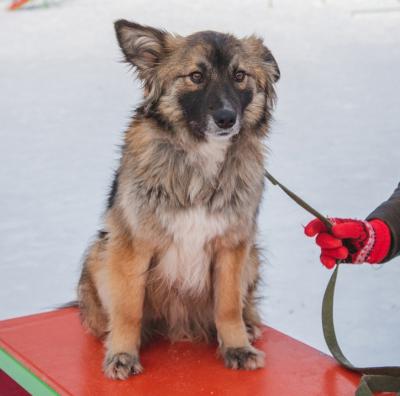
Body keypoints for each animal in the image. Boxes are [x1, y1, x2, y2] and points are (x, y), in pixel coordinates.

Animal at [77, 20, 278, 378]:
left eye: (239, 75)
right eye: (196, 76)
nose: (226, 118)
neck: (201, 158)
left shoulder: (232, 246)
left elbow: (228, 307)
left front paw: (237, 347)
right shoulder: (133, 246)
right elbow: (128, 309)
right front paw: (122, 355)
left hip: (251, 255)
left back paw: (249, 324)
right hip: (100, 253)